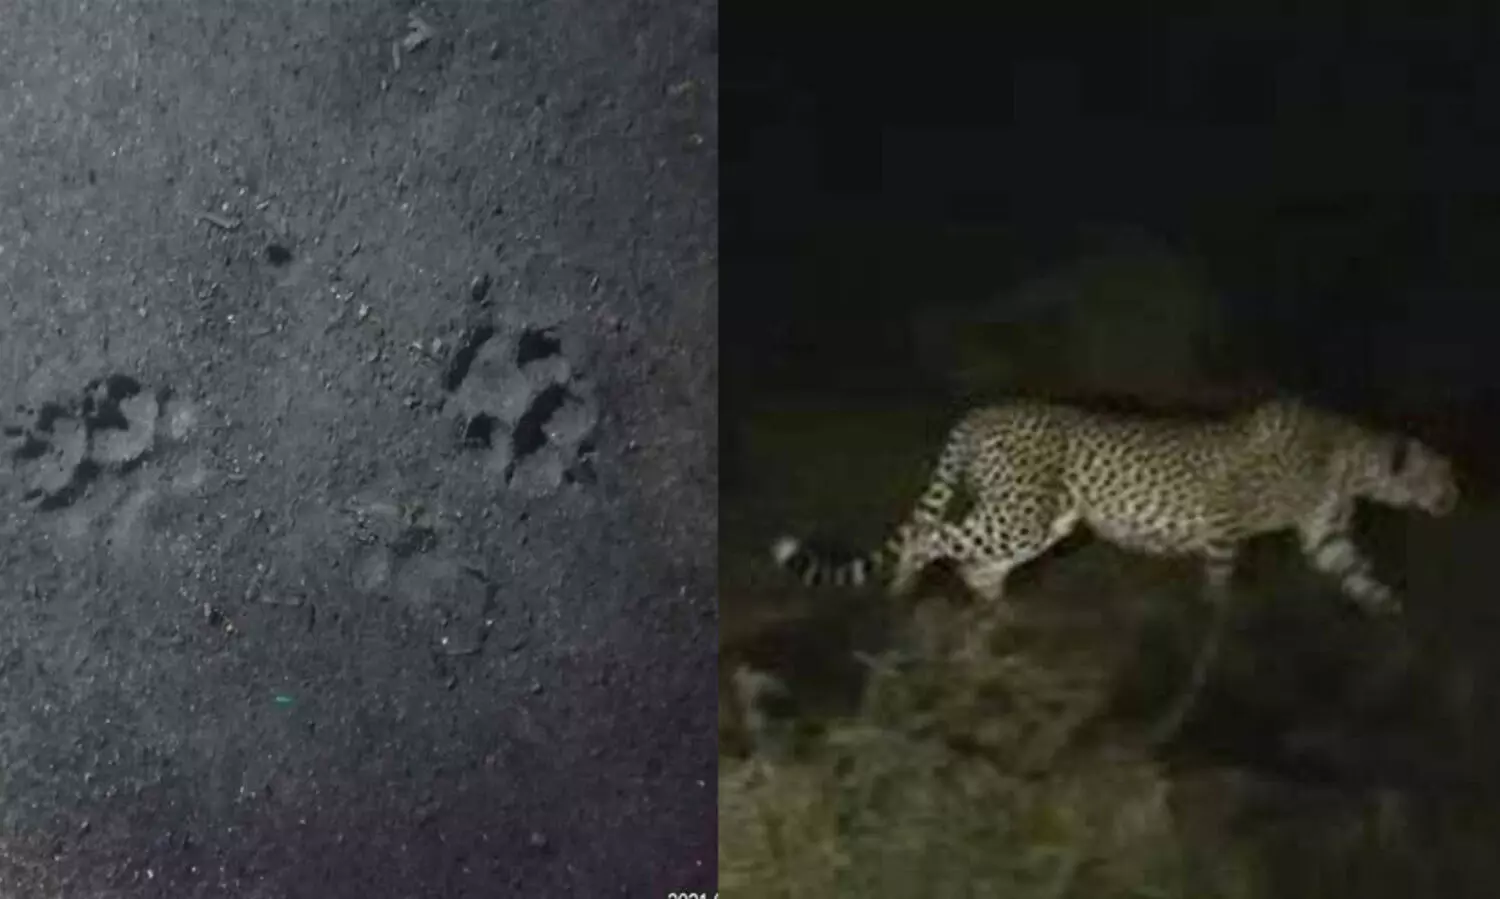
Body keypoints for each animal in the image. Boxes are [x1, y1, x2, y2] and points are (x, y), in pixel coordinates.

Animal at [769, 396, 1459, 741]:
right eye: (1440, 476)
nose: (1458, 497)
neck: (1349, 458)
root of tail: (985, 410)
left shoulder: (1324, 540)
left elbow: (1362, 581)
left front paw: (1398, 626)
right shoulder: (1222, 533)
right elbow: (1219, 600)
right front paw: (1209, 651)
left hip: (1046, 520)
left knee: (977, 569)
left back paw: (997, 628)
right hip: (1021, 513)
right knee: (928, 535)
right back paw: (905, 592)